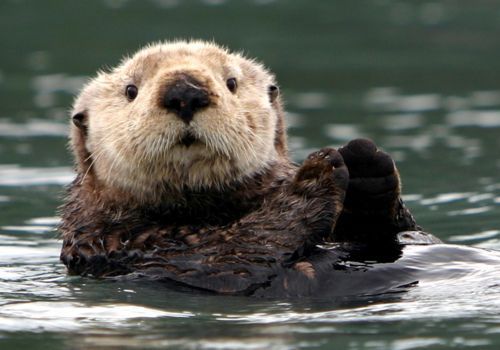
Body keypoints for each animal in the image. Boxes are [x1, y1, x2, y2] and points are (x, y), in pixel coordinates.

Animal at [58, 41, 438, 298]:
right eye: (130, 90)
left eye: (231, 82)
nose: (185, 92)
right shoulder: (127, 248)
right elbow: (238, 253)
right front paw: (316, 174)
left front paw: (366, 161)